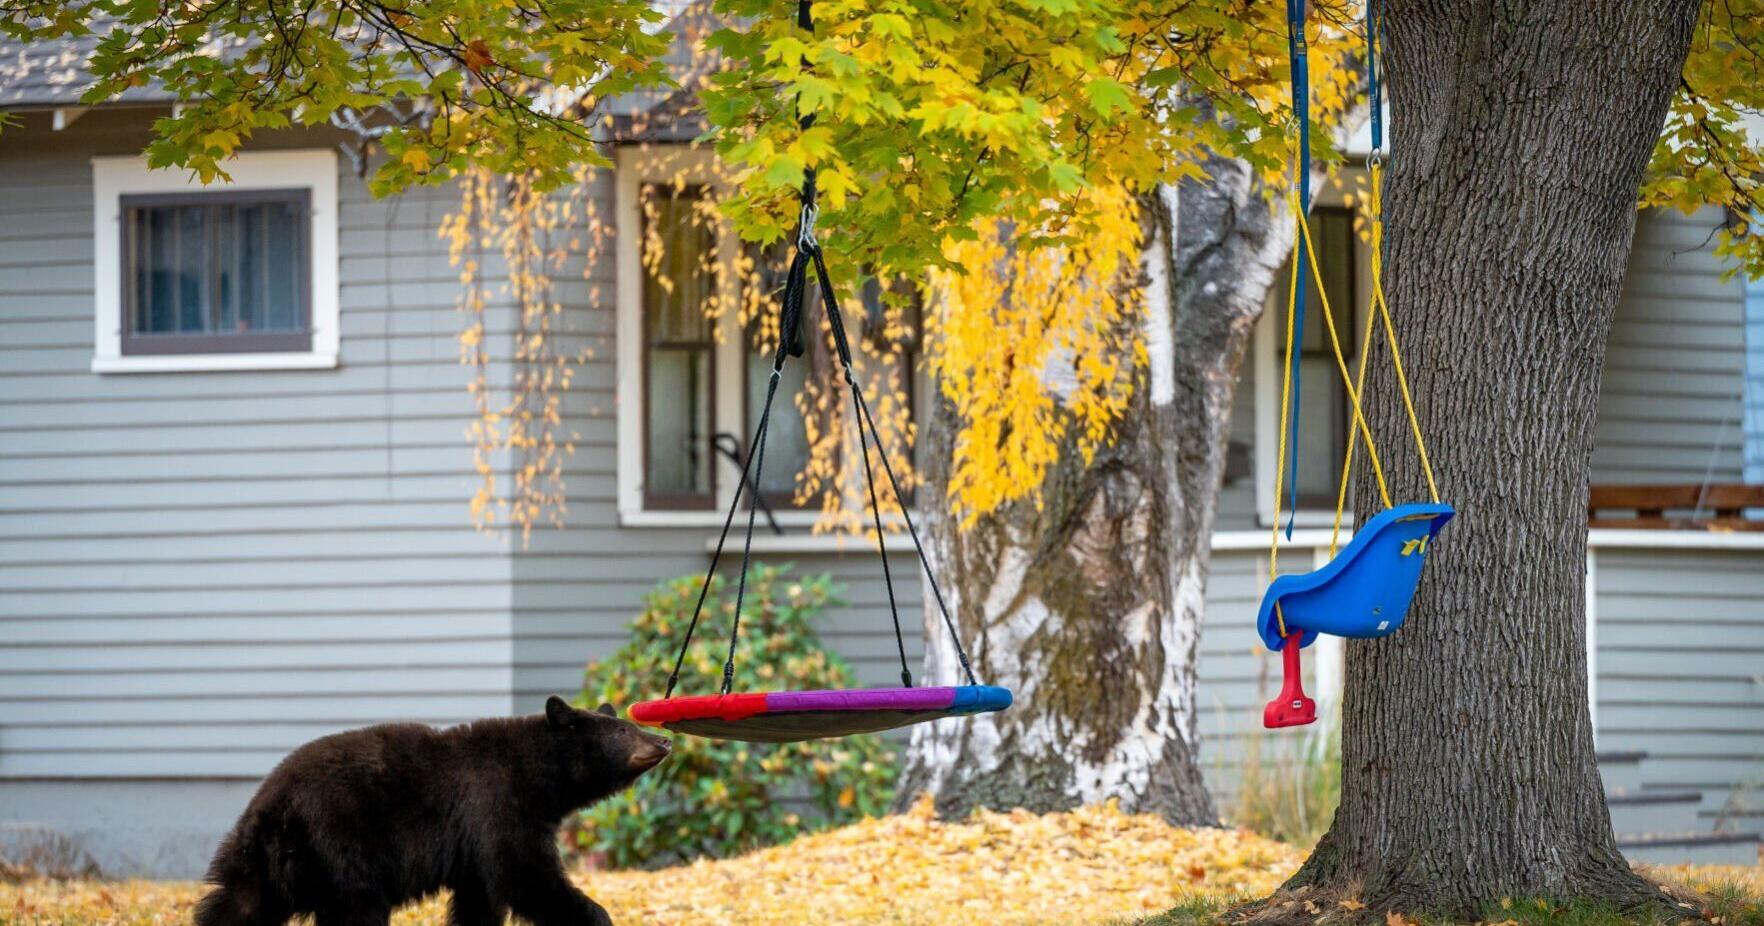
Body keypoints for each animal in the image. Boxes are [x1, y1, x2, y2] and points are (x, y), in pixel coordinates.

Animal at [192, 696, 670, 926]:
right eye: (623, 730)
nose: (664, 740)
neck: (537, 775)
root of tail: (272, 805)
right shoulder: (497, 804)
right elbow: (526, 875)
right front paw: (597, 915)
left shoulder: (474, 844)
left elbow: (481, 898)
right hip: (343, 845)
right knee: (356, 911)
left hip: (263, 861)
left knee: (234, 906)